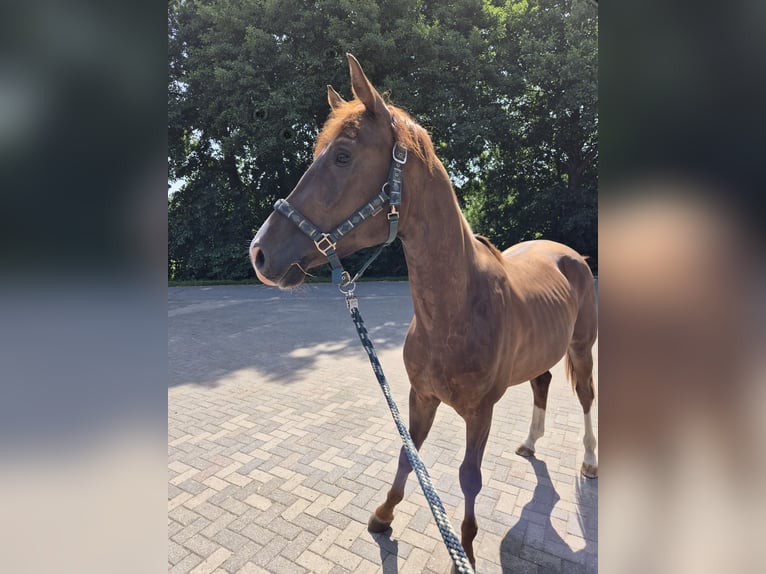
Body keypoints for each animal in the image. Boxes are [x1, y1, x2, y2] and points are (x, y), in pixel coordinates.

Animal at [249, 53, 598, 569]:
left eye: (342, 156)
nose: (259, 253)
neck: (455, 312)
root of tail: (567, 253)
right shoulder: (419, 396)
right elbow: (406, 454)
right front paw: (383, 515)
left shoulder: (480, 412)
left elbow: (469, 477)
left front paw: (464, 550)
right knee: (543, 384)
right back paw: (531, 443)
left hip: (581, 346)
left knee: (587, 397)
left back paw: (590, 461)